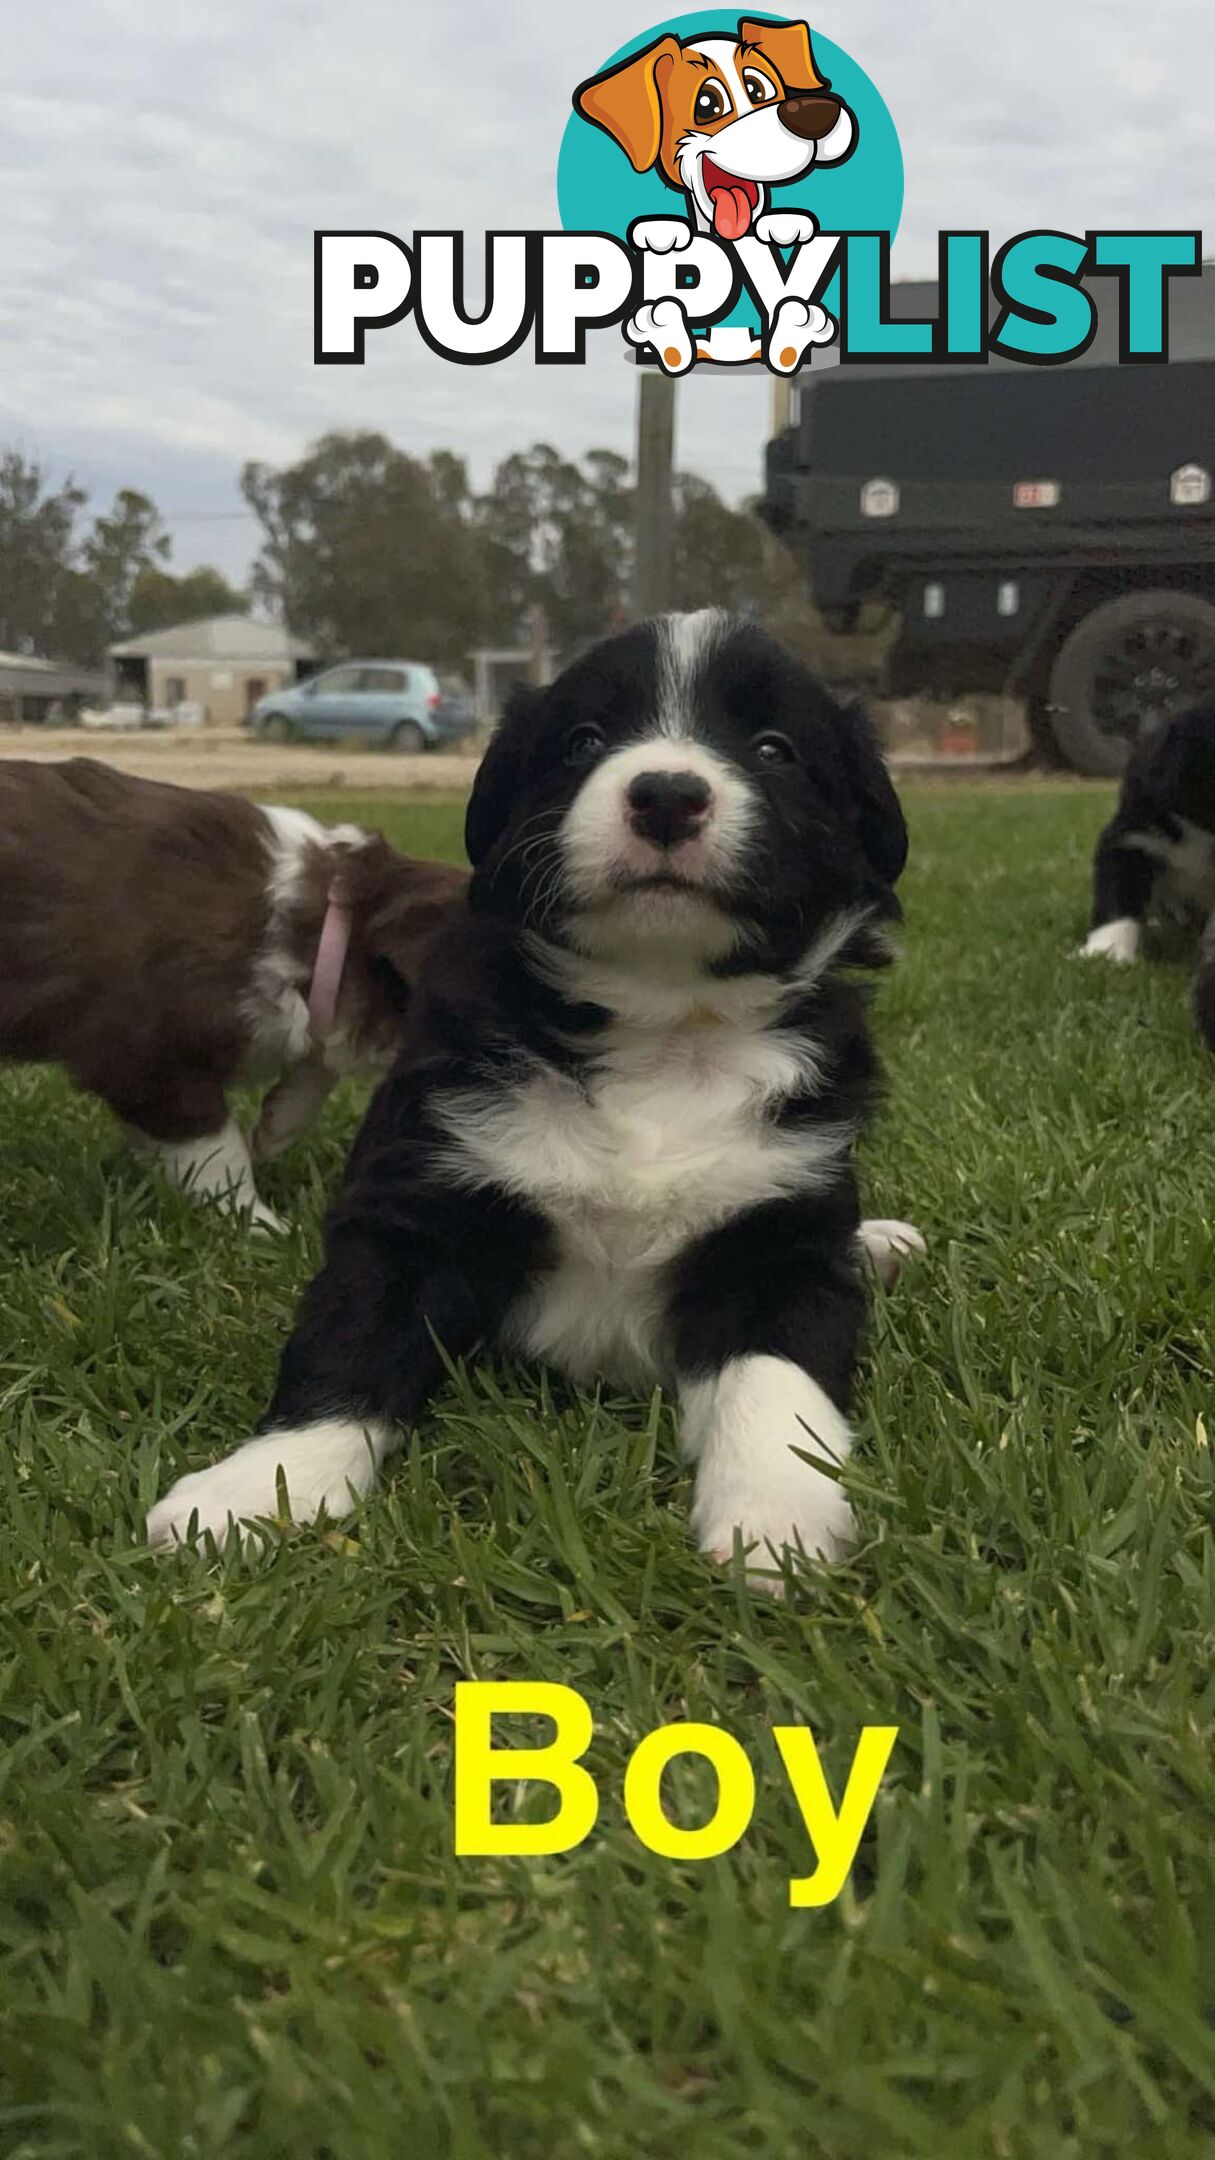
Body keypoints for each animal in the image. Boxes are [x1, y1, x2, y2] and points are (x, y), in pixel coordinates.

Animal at [149, 613, 916, 1589]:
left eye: (773, 749)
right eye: (582, 741)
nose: (667, 795)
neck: (660, 1023)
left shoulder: (782, 1238)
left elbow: (779, 1376)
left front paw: (776, 1516)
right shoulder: (420, 1208)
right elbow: (348, 1344)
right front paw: (258, 1488)